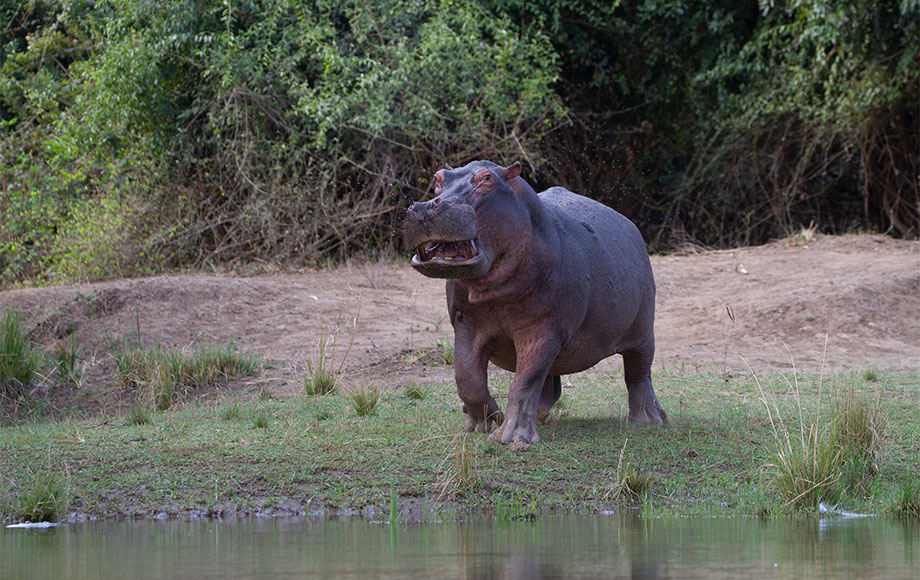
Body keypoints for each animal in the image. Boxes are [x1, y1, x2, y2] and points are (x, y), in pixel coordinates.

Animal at [400, 161, 660, 446]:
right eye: (438, 178)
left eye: (487, 179)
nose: (425, 207)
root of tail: (629, 224)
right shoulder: (466, 324)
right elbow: (468, 378)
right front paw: (482, 425)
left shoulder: (543, 328)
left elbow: (524, 382)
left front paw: (512, 440)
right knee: (550, 379)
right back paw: (541, 415)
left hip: (643, 331)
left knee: (638, 373)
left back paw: (649, 421)